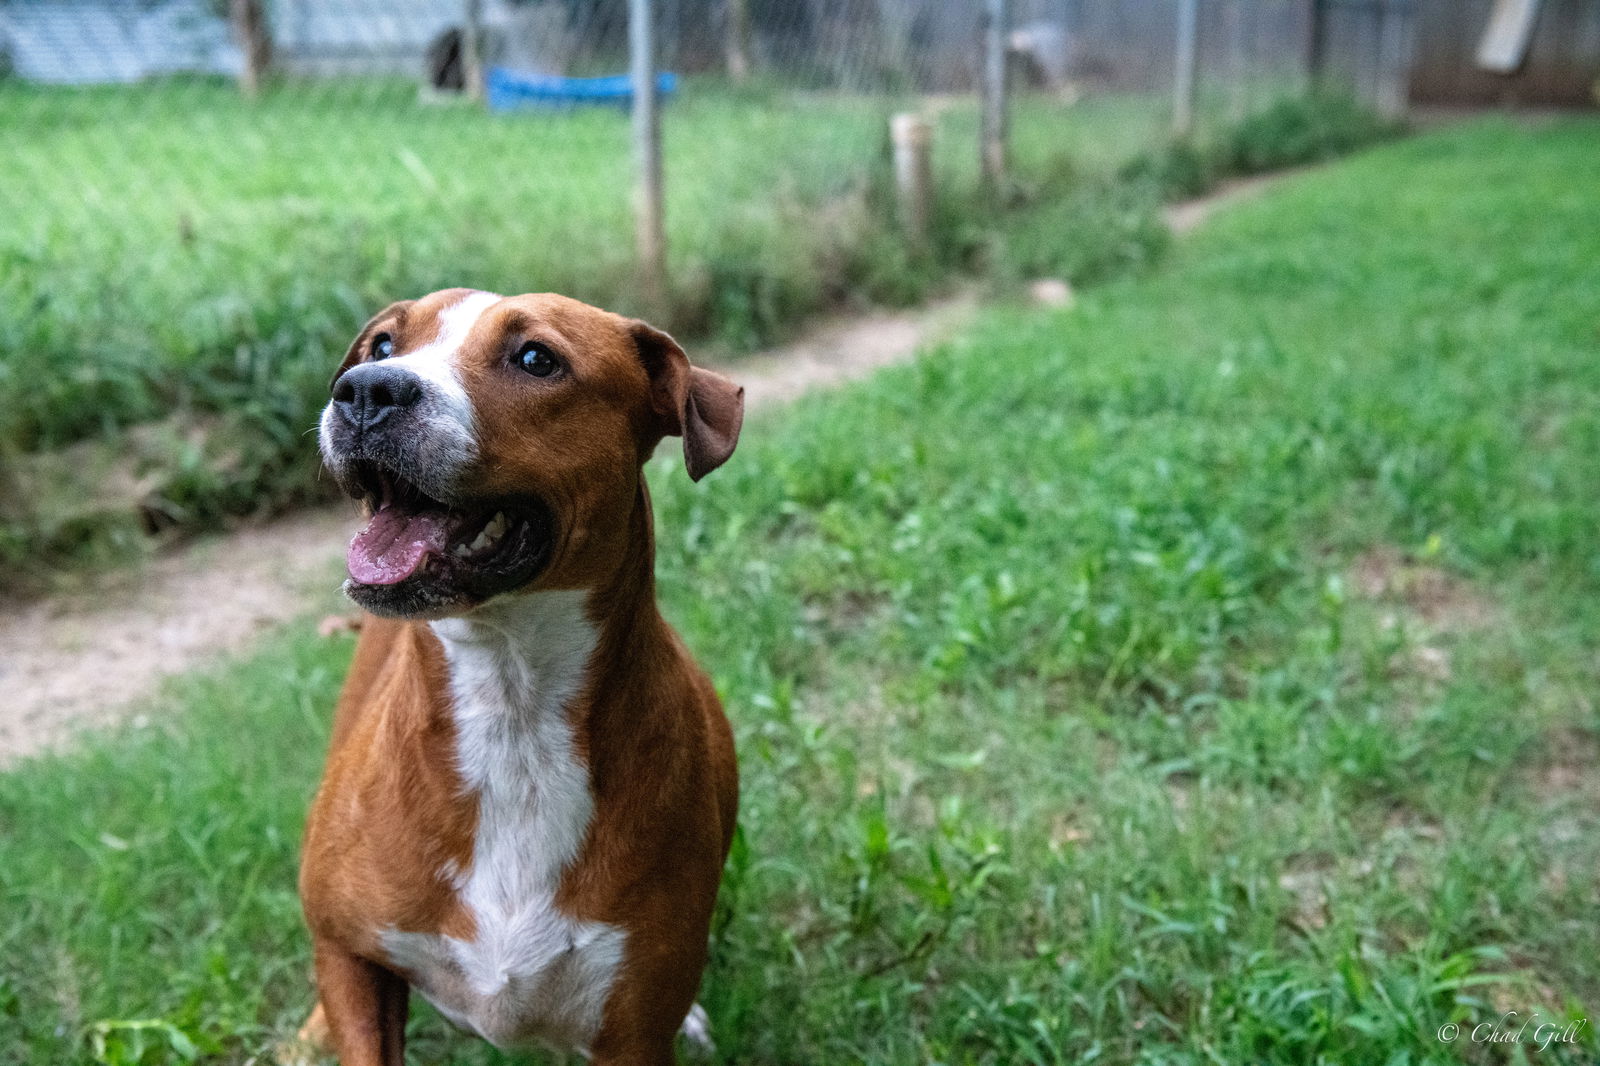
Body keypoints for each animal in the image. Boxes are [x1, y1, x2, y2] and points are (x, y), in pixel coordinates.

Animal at [294, 288, 742, 1062]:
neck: (510, 702)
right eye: (383, 346)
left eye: (536, 359)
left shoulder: (633, 1030)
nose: (366, 391)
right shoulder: (348, 954)